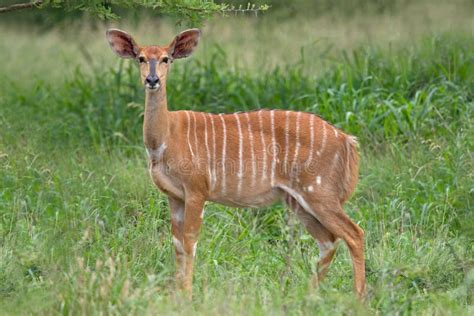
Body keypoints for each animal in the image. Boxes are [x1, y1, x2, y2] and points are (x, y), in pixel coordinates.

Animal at [107, 28, 366, 298]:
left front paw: (187, 294)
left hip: (319, 192)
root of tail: (347, 140)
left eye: (166, 58)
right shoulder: (174, 195)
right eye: (141, 58)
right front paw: (177, 292)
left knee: (354, 233)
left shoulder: (197, 189)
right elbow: (177, 243)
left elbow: (190, 241)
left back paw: (358, 297)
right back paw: (307, 295)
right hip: (297, 199)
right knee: (328, 240)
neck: (166, 137)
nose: (152, 79)